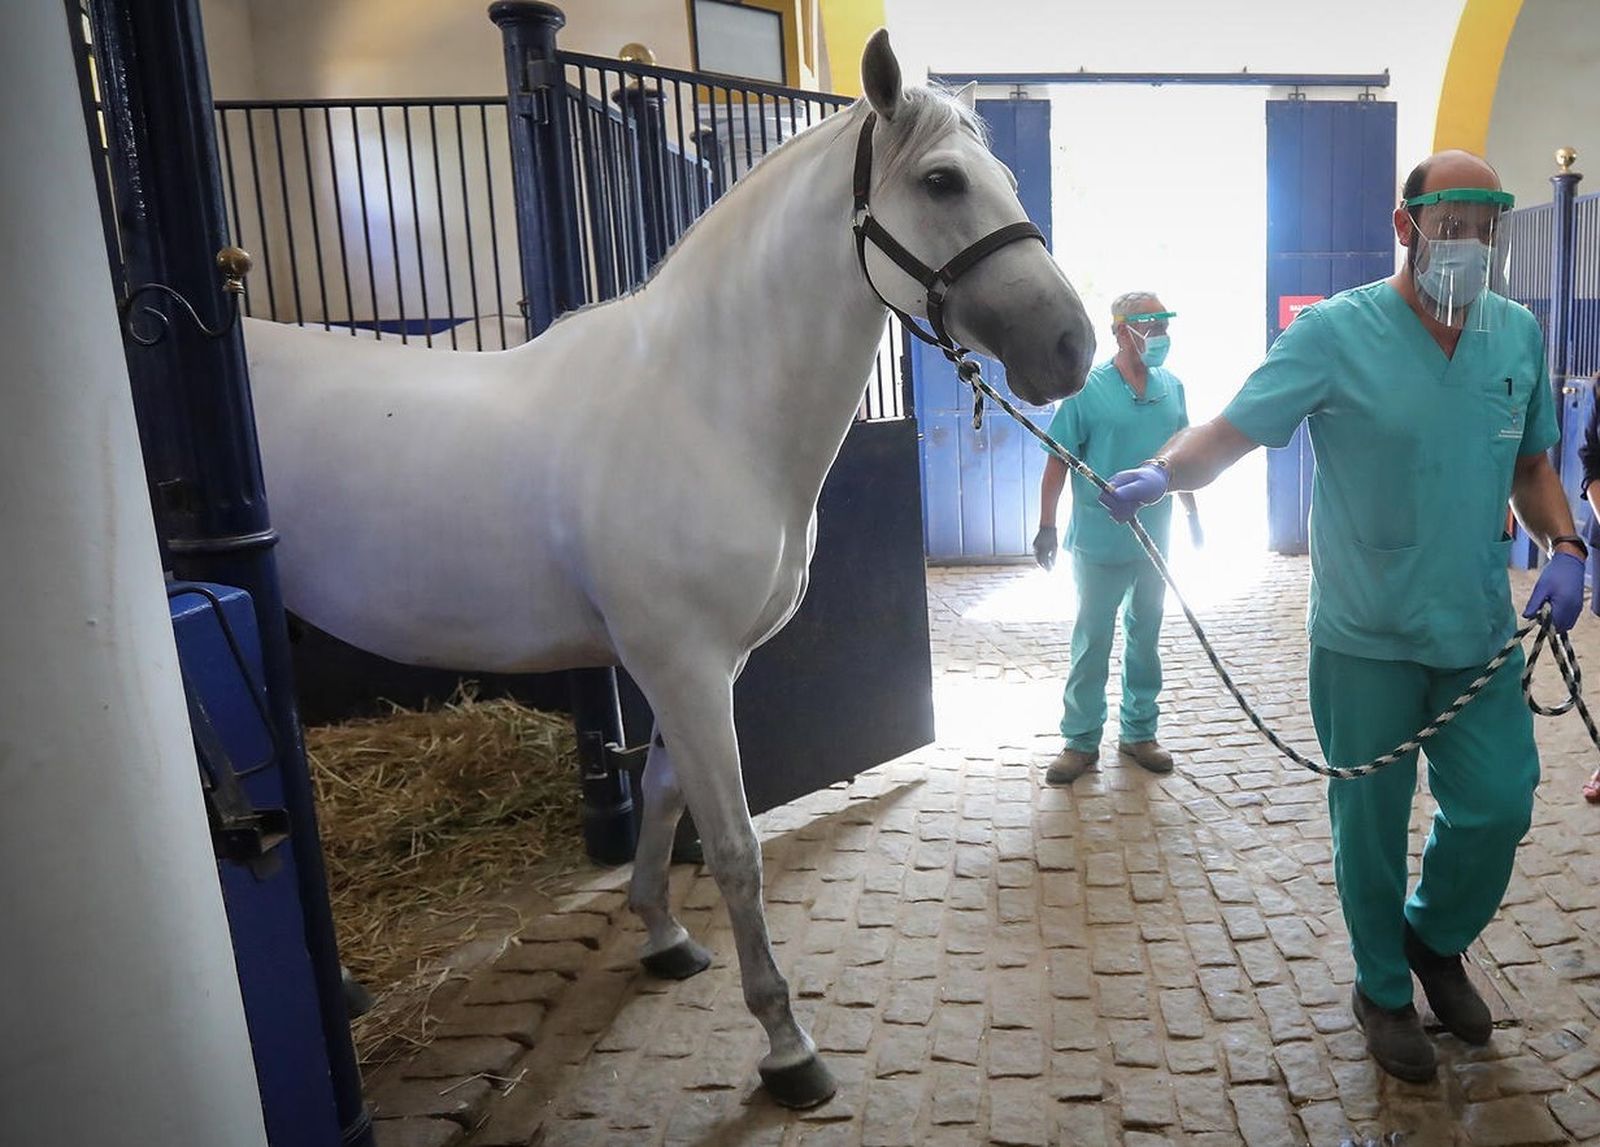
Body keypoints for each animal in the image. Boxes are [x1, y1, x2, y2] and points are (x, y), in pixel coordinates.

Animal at [242, 30, 1095, 1108]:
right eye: (942, 181)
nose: (1072, 346)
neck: (702, 405)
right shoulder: (683, 667)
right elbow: (731, 843)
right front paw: (786, 1045)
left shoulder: (694, 666)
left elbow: (660, 794)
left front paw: (660, 935)